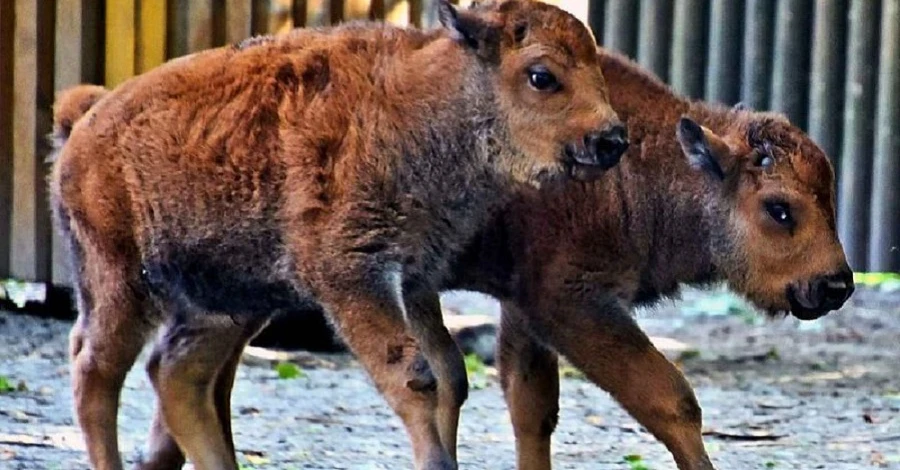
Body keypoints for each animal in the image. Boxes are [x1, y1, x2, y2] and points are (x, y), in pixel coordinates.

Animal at [49, 1, 624, 468]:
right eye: (542, 76)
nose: (612, 139)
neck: (418, 105)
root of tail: (86, 121)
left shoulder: (413, 279)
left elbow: (449, 374)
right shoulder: (354, 276)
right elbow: (414, 376)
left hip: (231, 301)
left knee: (177, 373)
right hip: (121, 284)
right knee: (95, 371)